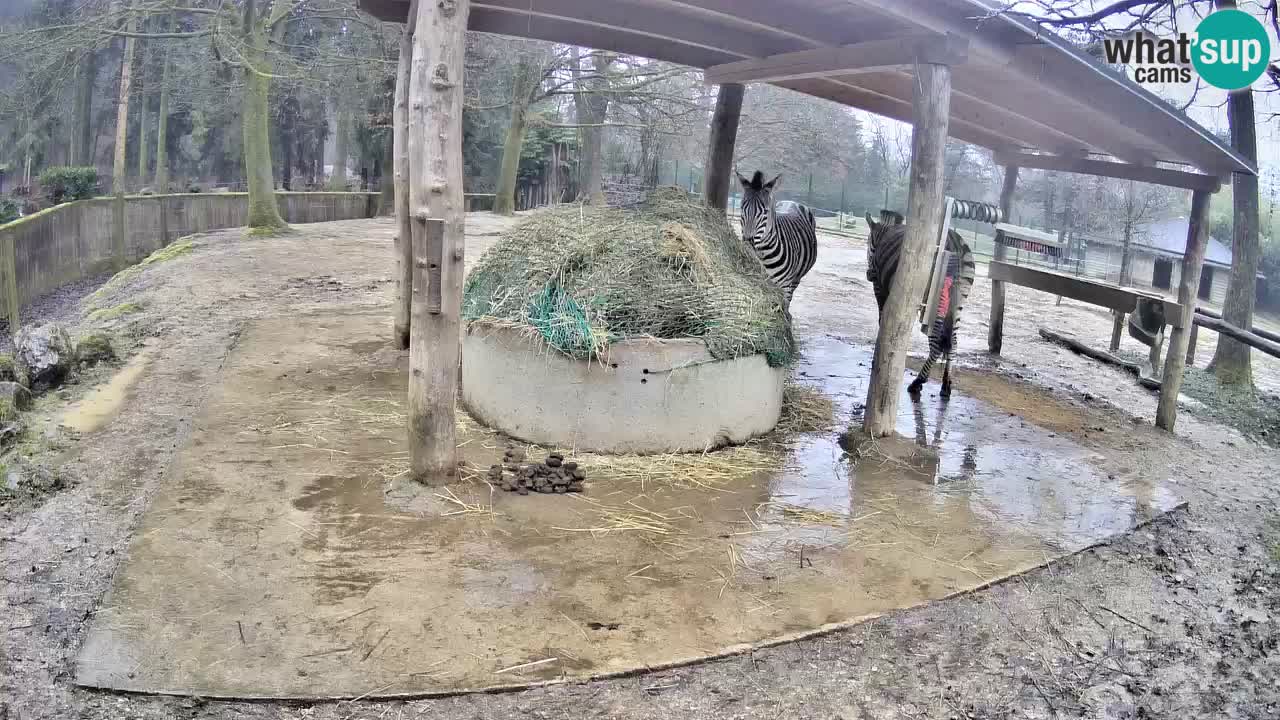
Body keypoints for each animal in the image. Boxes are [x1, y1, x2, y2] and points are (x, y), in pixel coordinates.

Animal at [735, 171, 818, 306]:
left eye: (765, 212)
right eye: (742, 209)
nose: (747, 245)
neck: (764, 255)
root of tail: (792, 202)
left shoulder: (785, 288)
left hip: (796, 280)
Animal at [864, 210, 976, 399]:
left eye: (868, 245)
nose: (868, 274)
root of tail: (956, 244)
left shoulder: (880, 288)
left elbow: (882, 321)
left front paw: (877, 359)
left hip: (934, 300)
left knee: (937, 342)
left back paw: (918, 382)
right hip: (958, 301)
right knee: (953, 341)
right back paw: (946, 385)